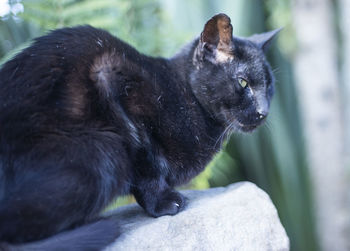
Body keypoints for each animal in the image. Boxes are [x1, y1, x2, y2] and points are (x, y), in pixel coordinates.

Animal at [0, 13, 278, 249]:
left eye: (269, 87)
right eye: (243, 83)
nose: (264, 111)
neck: (184, 95)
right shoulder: (114, 82)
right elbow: (148, 164)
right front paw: (163, 203)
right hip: (105, 149)